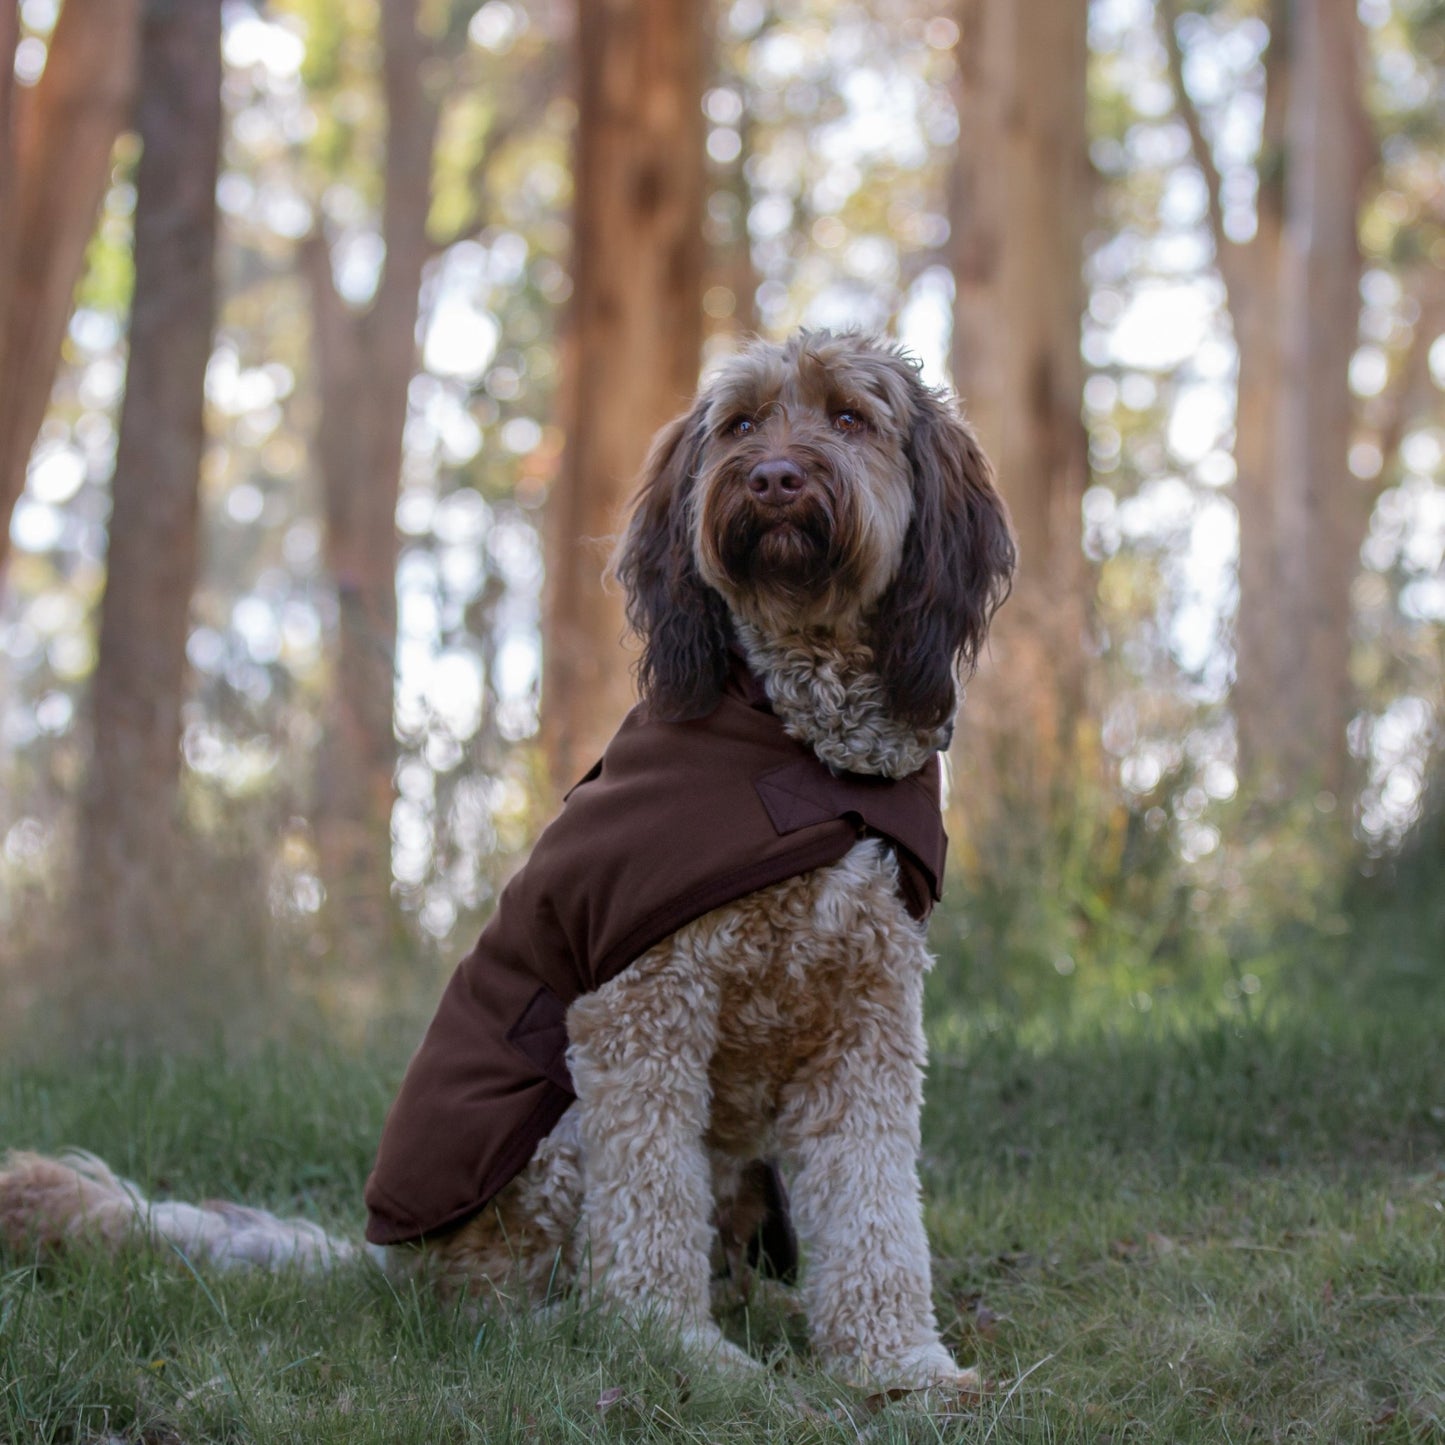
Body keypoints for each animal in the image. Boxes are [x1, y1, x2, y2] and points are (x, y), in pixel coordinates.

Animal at [0, 332, 1011, 1392]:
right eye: (739, 424)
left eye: (849, 418)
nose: (773, 477)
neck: (804, 741)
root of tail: (378, 1259)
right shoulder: (639, 1007)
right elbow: (649, 1211)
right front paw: (680, 1356)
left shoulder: (868, 1022)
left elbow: (874, 1210)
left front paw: (902, 1365)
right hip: (547, 1130)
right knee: (492, 1296)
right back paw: (574, 1335)